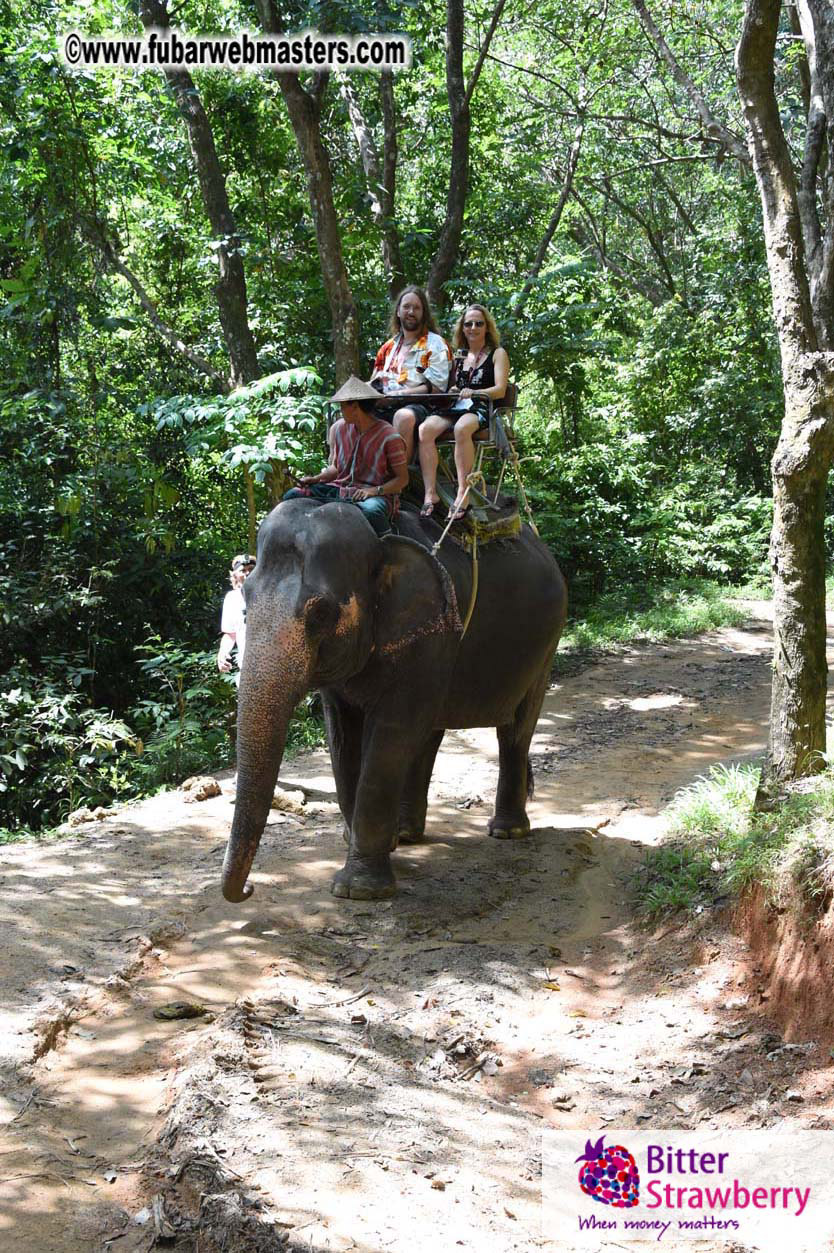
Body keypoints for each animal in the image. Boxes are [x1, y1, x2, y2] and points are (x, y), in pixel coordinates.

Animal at [221, 498, 567, 903]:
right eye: (245, 602)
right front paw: (368, 846)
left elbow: (391, 733)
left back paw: (506, 831)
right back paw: (405, 834)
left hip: (547, 643)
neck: (379, 543)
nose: (249, 888)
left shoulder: (429, 631)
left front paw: (359, 889)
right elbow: (342, 739)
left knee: (514, 730)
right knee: (431, 732)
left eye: (321, 612)